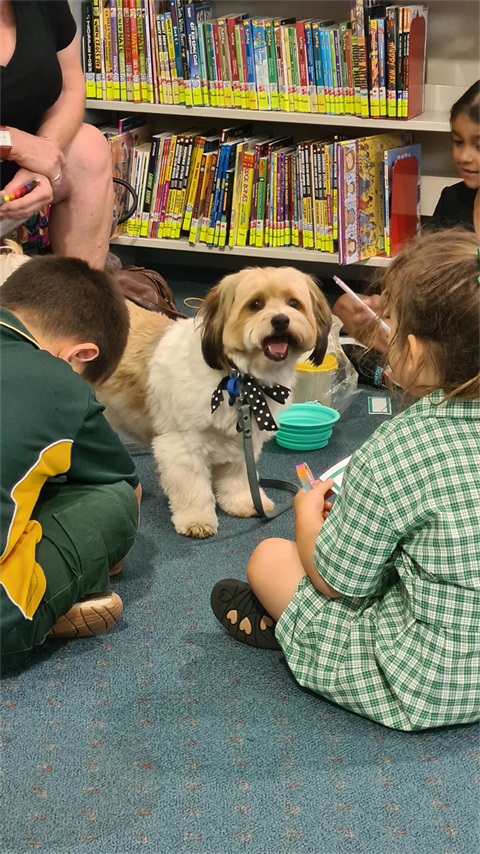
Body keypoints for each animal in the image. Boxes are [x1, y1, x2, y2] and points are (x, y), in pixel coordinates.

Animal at [97, 264, 330, 540]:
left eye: (293, 303)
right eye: (256, 304)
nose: (281, 320)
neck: (239, 379)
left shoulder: (241, 442)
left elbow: (238, 477)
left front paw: (243, 501)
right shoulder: (181, 446)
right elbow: (193, 488)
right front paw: (196, 519)